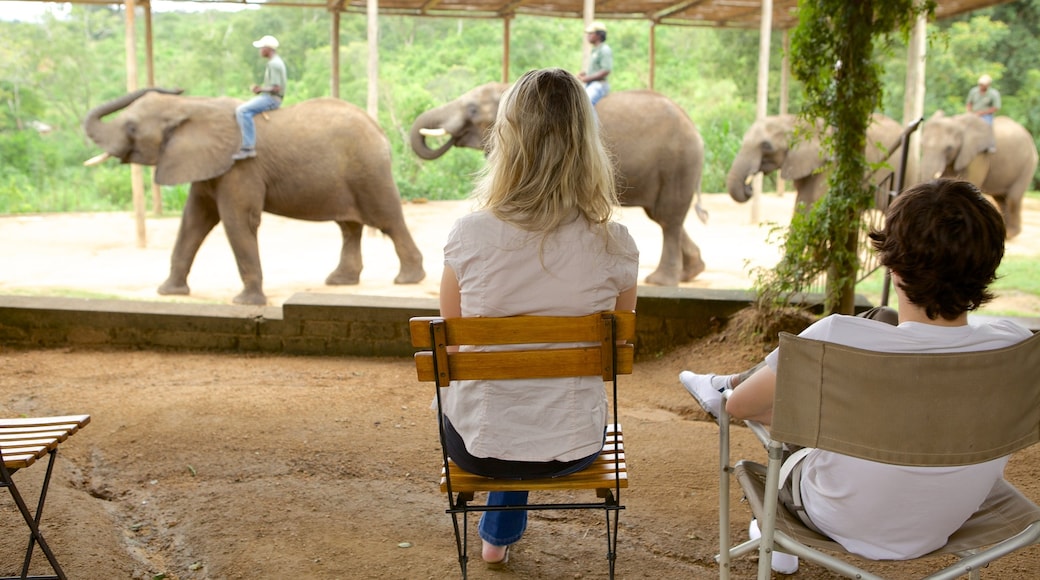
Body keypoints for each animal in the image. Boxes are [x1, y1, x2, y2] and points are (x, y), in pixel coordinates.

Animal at [81, 88, 422, 307]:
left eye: (131, 127)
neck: (190, 106)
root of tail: (380, 130)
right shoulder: (208, 165)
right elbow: (193, 221)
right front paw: (169, 293)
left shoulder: (241, 167)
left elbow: (237, 220)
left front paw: (246, 303)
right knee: (349, 226)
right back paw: (340, 282)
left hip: (369, 170)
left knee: (389, 220)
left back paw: (407, 280)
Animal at [409, 83, 711, 286]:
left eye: (472, 109)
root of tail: (694, 127)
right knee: (663, 216)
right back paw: (690, 273)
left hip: (677, 161)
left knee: (668, 218)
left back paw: (661, 282)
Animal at [723, 113, 911, 214]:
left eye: (766, 146)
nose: (749, 187)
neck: (792, 119)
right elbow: (802, 205)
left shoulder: (832, 165)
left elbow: (816, 206)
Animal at [923, 111, 1035, 239]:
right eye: (921, 145)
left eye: (949, 148)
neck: (957, 122)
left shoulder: (978, 156)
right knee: (1001, 199)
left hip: (1028, 163)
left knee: (1013, 198)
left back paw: (1011, 234)